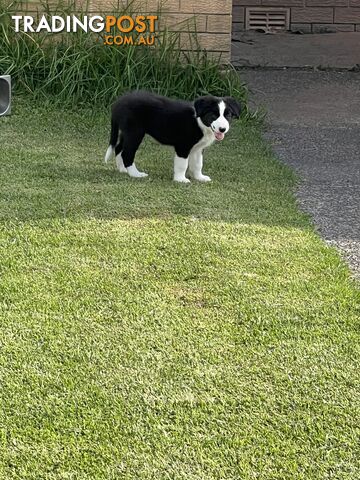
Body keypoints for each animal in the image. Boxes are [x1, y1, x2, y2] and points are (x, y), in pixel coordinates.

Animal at [104, 90, 240, 182]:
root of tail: (117, 103)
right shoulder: (183, 146)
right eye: (213, 115)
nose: (222, 129)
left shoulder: (198, 149)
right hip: (135, 133)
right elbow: (182, 164)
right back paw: (135, 174)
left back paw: (122, 170)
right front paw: (180, 179)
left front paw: (199, 177)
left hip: (126, 132)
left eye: (228, 116)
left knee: (119, 148)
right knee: (127, 153)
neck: (199, 121)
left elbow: (197, 164)